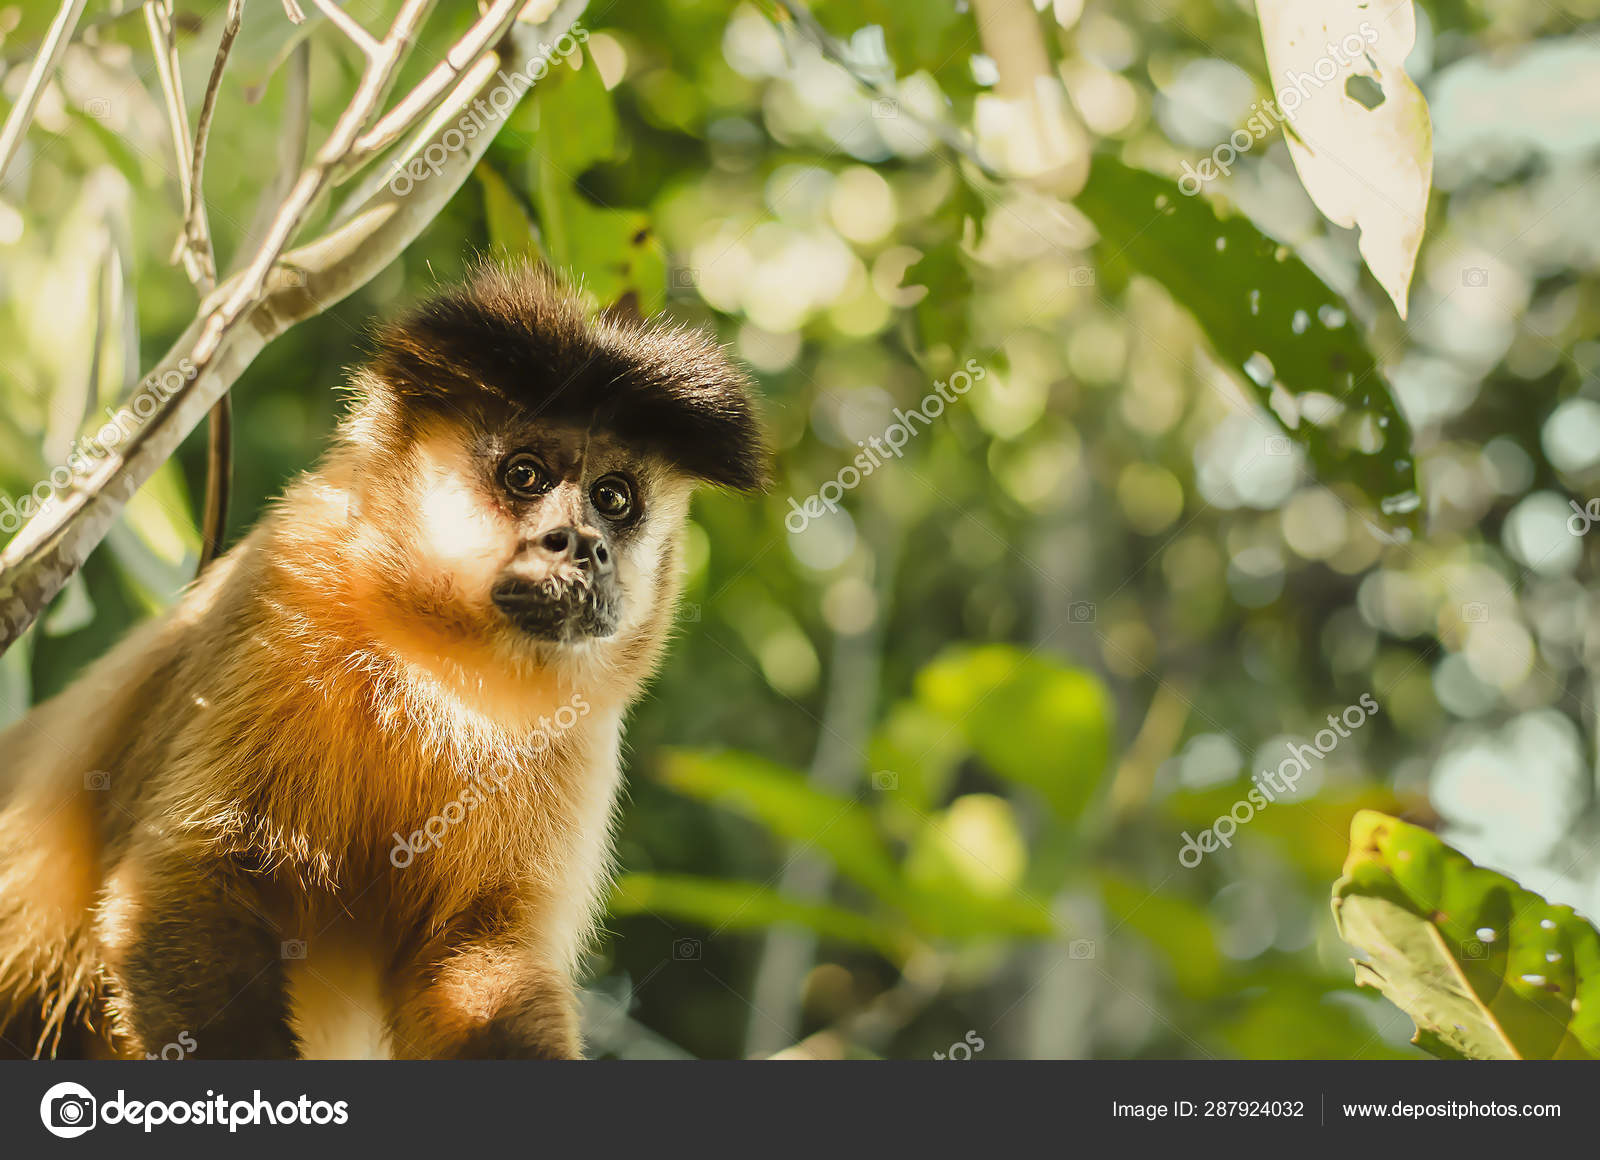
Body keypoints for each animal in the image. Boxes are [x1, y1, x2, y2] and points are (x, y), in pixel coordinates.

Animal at [0, 262, 766, 1059]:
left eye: (613, 498)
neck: (432, 666)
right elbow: (179, 885)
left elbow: (473, 953)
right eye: (525, 475)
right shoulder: (283, 586)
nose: (583, 544)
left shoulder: (573, 735)